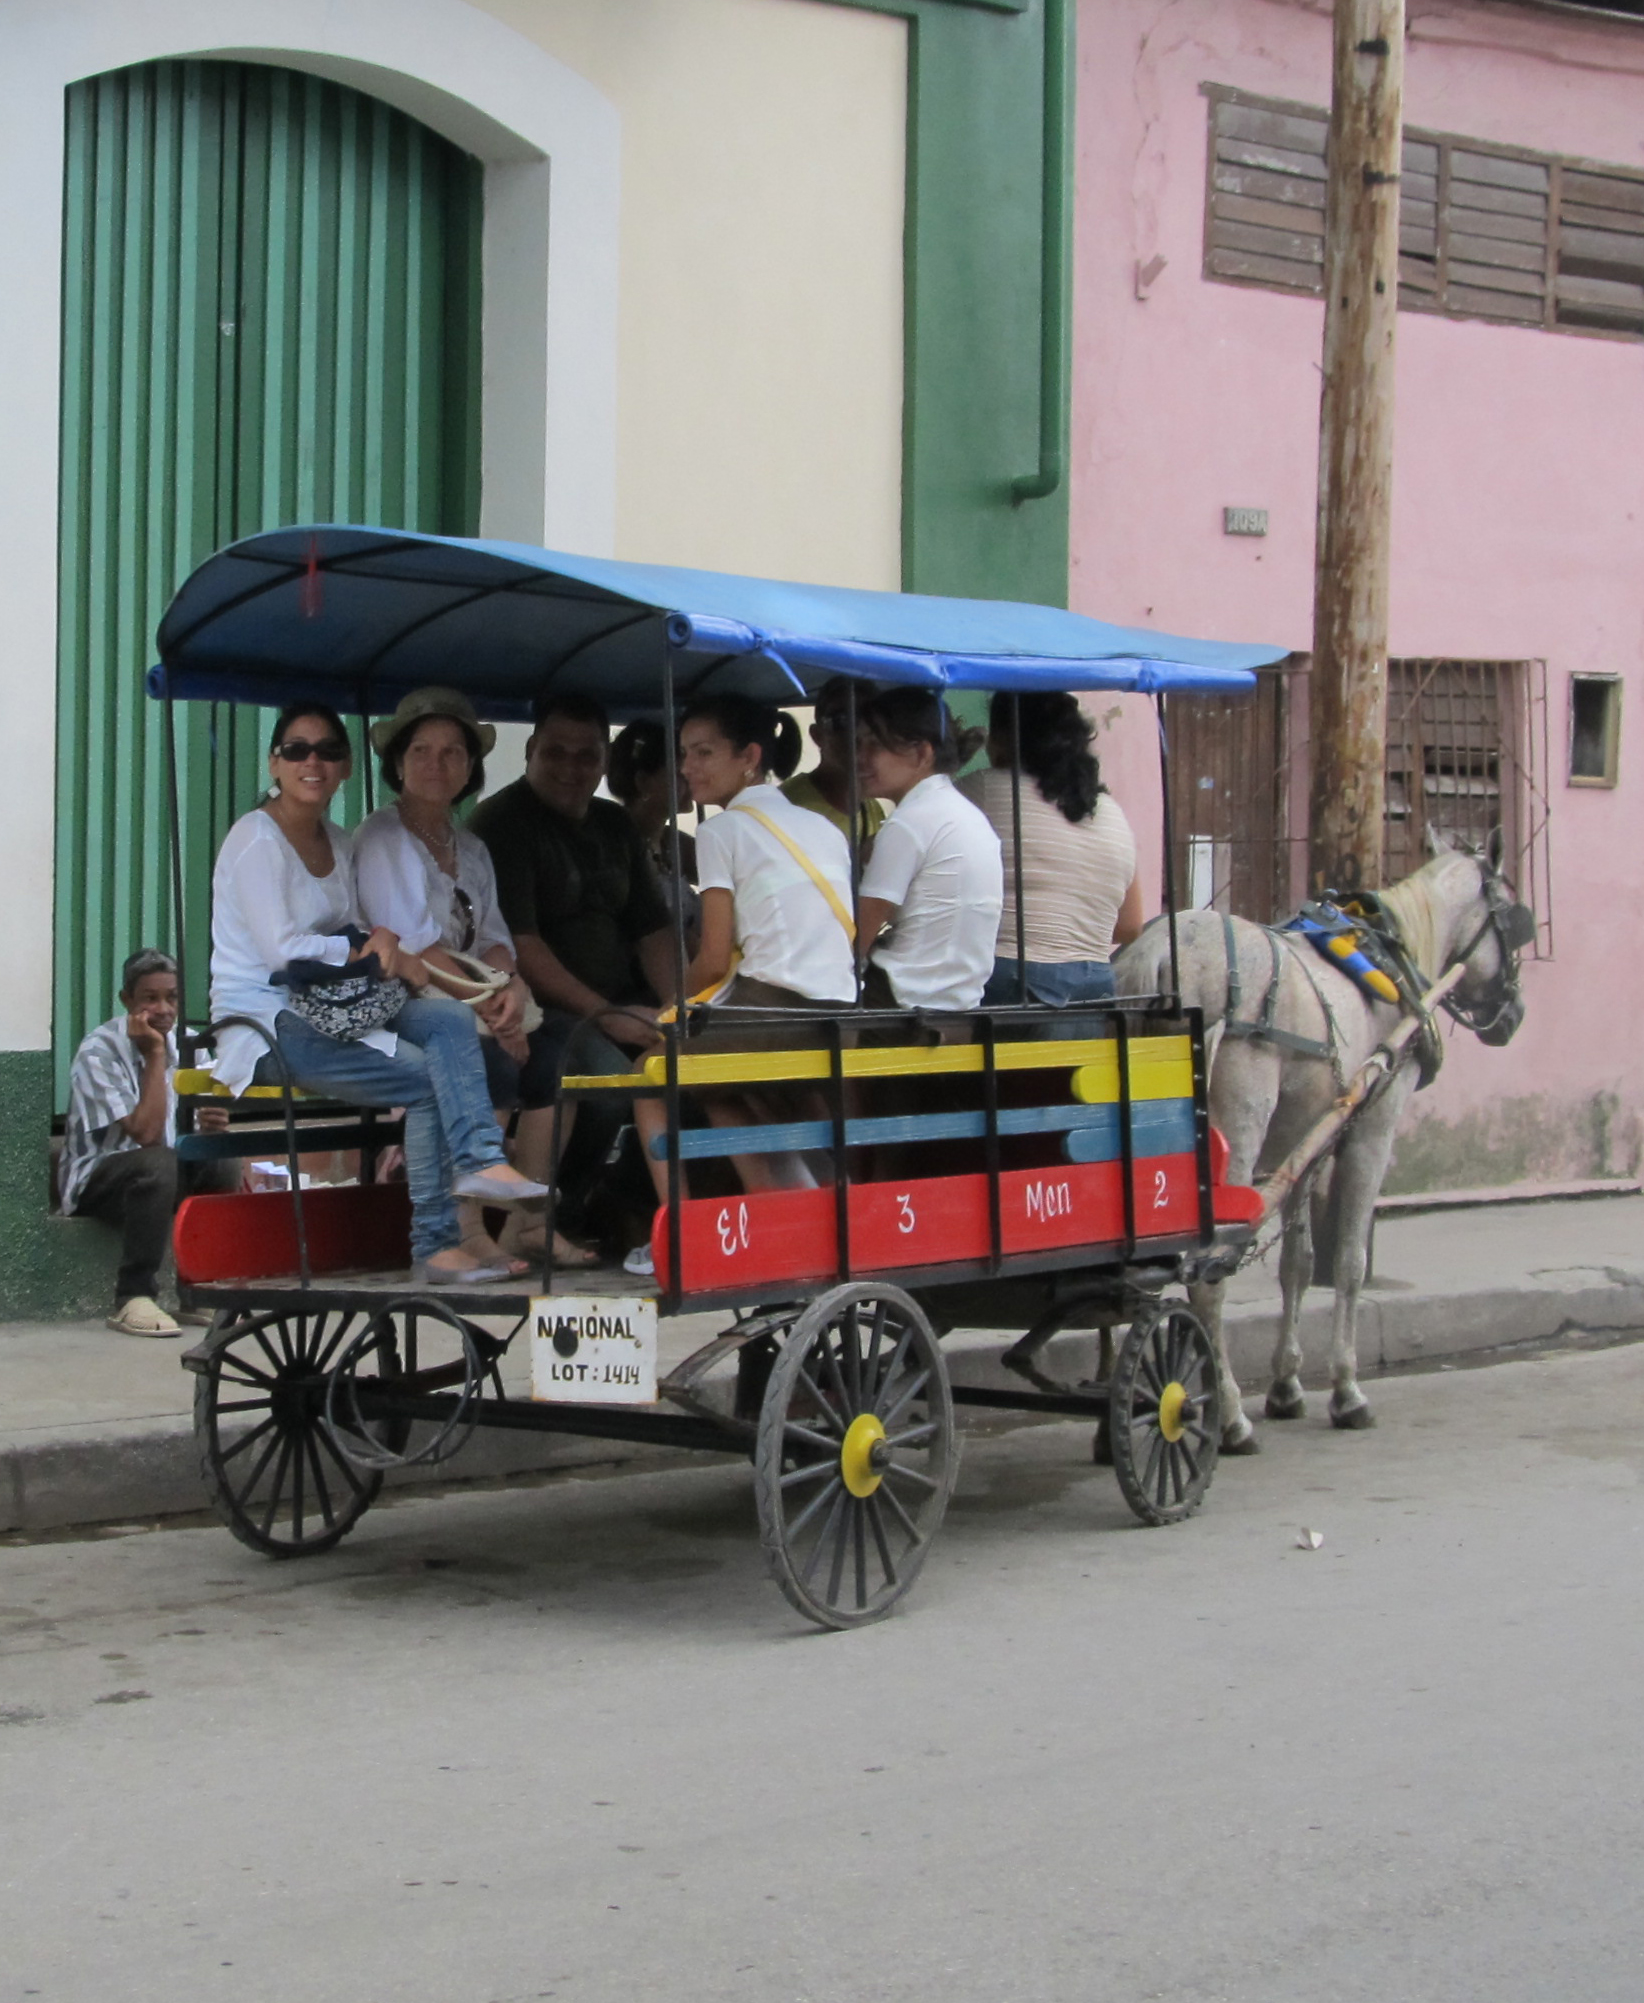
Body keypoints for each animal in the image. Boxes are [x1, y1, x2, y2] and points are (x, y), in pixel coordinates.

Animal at [1113, 849, 1529, 1458]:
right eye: (1516, 922)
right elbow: (1350, 1262)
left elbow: (1298, 1264)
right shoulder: (1371, 1130)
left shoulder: (1302, 1145)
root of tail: (1158, 955)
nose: (1513, 1016)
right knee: (1207, 1277)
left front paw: (1287, 1385)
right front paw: (1346, 1391)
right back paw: (1226, 1417)